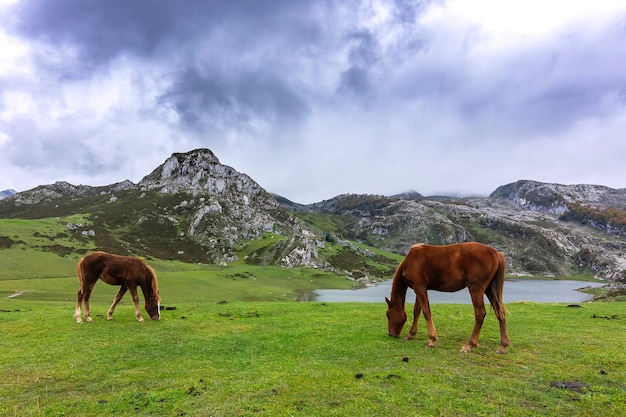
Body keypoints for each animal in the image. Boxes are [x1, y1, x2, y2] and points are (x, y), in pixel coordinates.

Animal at [382, 242, 510, 352]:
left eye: (388, 314)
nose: (391, 334)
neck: (410, 261)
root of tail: (495, 252)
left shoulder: (419, 288)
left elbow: (426, 312)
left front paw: (431, 340)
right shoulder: (420, 288)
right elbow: (417, 311)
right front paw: (411, 334)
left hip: (476, 290)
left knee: (480, 314)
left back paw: (469, 344)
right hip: (489, 290)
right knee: (500, 312)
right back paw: (502, 346)